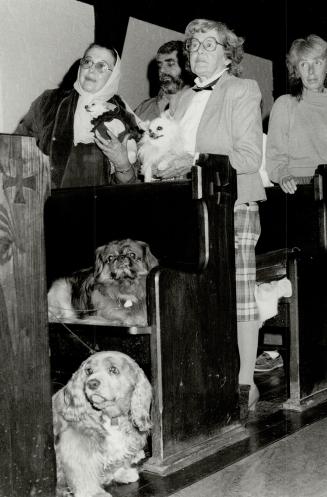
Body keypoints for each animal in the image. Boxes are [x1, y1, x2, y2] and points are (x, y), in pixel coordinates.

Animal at [52, 348, 152, 496]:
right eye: (88, 371)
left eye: (113, 369)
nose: (91, 383)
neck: (110, 417)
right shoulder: (77, 444)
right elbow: (83, 471)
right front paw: (94, 493)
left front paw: (122, 473)